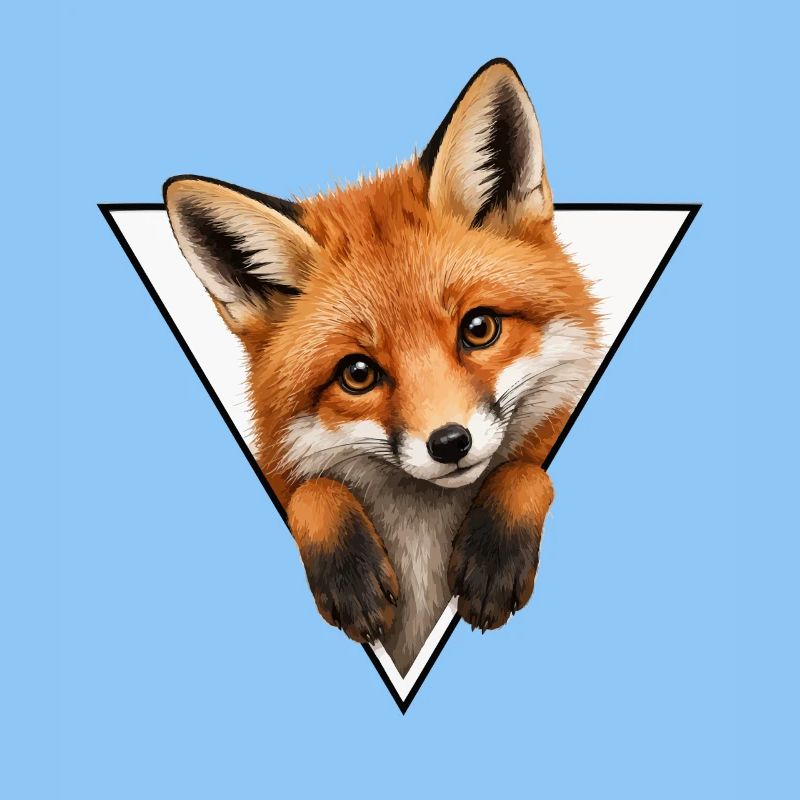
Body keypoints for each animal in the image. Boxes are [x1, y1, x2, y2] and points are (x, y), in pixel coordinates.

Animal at [163, 59, 601, 675]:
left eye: (479, 328)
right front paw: (349, 571)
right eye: (358, 373)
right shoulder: (283, 472)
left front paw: (494, 552)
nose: (450, 443)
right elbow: (311, 492)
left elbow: (527, 471)